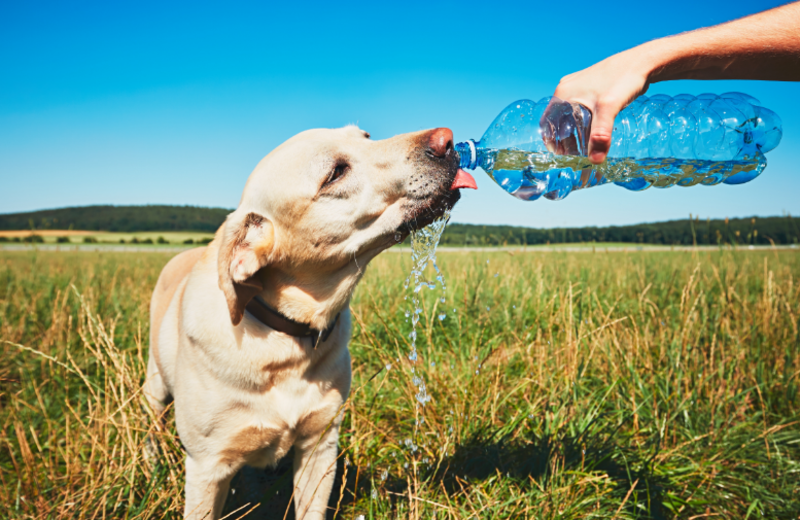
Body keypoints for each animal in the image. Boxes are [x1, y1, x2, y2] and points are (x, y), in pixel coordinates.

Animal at [144, 126, 476, 520]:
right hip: (154, 387)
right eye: (335, 173)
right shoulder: (206, 466)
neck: (285, 339)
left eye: (366, 136)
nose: (447, 140)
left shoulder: (320, 446)